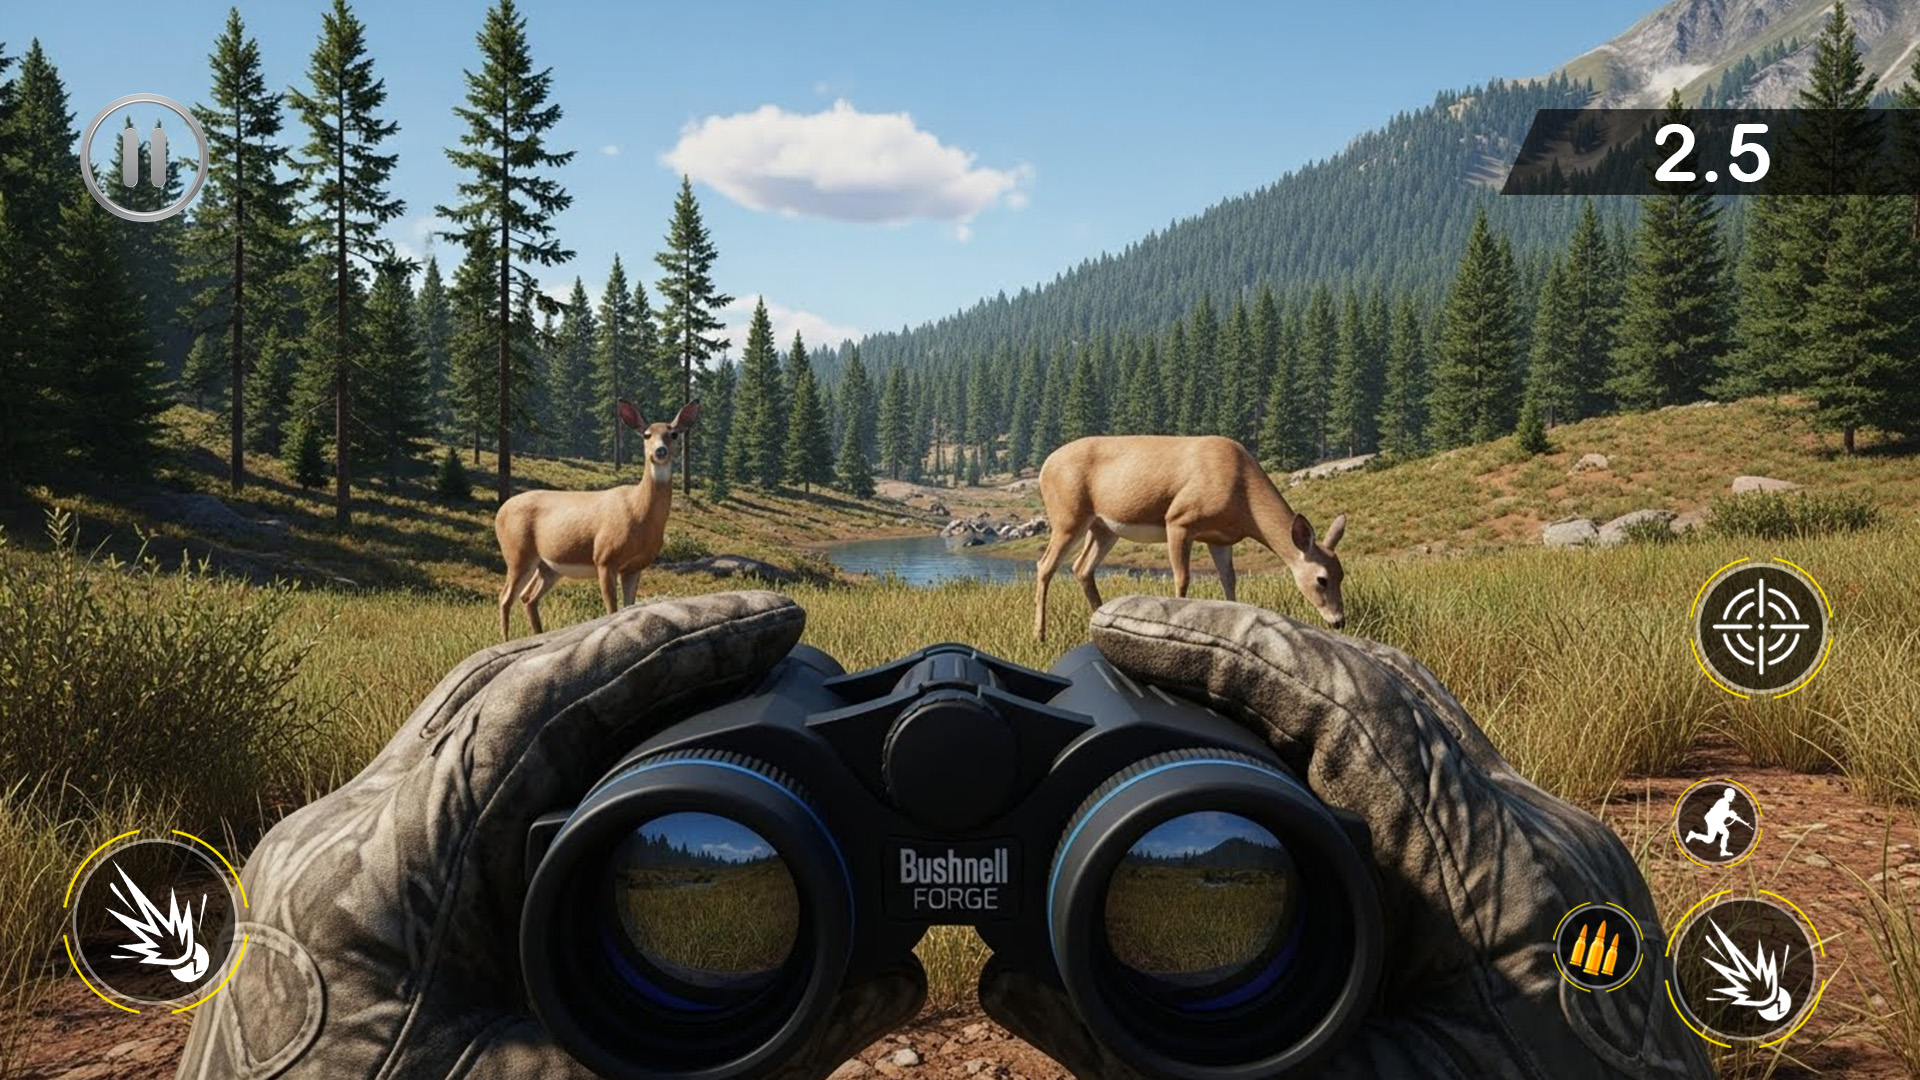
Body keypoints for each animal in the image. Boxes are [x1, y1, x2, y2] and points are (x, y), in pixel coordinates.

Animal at [494, 401, 699, 640]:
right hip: (517, 552)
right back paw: (506, 640)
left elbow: (629, 606)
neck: (639, 514)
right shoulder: (604, 557)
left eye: (673, 434)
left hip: (548, 566)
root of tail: (500, 512)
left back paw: (538, 635)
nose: (660, 451)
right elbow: (612, 610)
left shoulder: (635, 567)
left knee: (528, 597)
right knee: (505, 597)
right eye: (646, 435)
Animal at [1033, 434, 1348, 640]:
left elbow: (1229, 581)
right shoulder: (1179, 520)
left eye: (1342, 575)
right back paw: (1040, 634)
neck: (1242, 496)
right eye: (1322, 579)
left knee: (1081, 567)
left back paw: (1100, 618)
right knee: (1045, 565)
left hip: (1104, 527)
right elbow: (1182, 579)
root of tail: (1044, 466)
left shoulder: (1220, 539)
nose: (1339, 621)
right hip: (1067, 516)